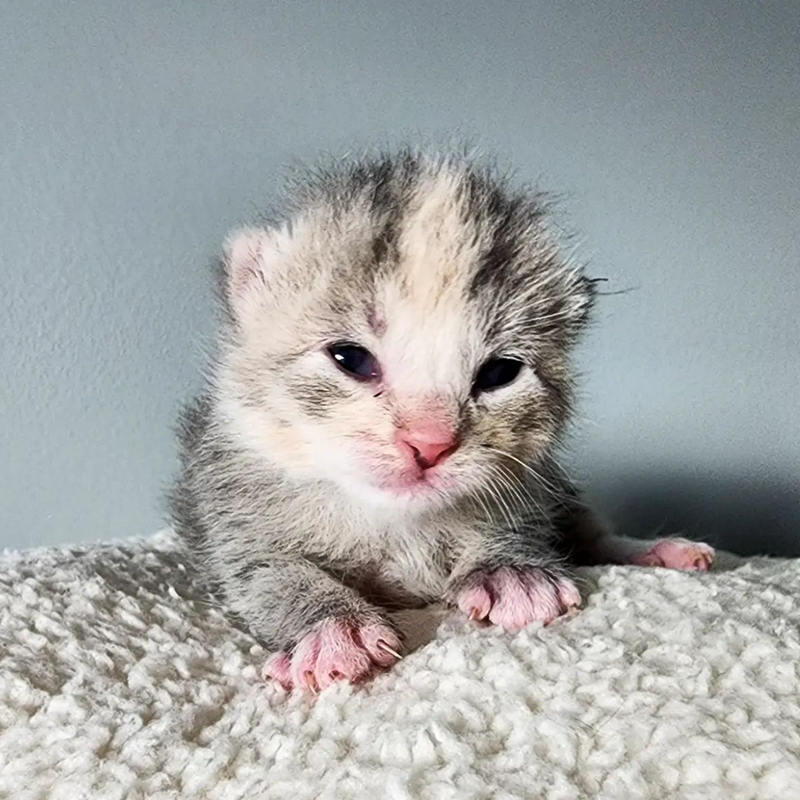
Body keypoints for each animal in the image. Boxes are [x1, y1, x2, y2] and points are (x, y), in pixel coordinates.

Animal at [169, 150, 712, 692]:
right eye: (350, 358)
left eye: (500, 373)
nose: (429, 443)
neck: (396, 523)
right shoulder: (226, 508)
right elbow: (264, 572)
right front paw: (331, 626)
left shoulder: (530, 481)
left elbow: (521, 522)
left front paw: (509, 569)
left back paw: (657, 552)